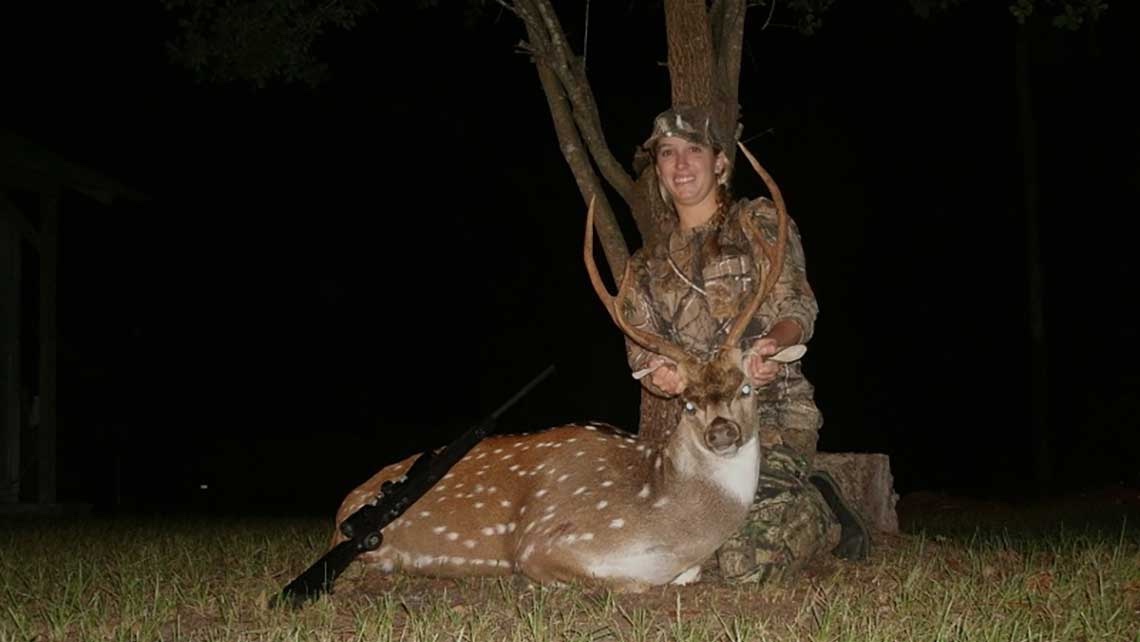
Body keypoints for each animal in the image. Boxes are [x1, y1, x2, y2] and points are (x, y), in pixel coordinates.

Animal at [330, 144, 800, 592]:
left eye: (745, 388)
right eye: (686, 403)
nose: (722, 433)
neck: (666, 531)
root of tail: (343, 509)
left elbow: (688, 574)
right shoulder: (541, 542)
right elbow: (630, 583)